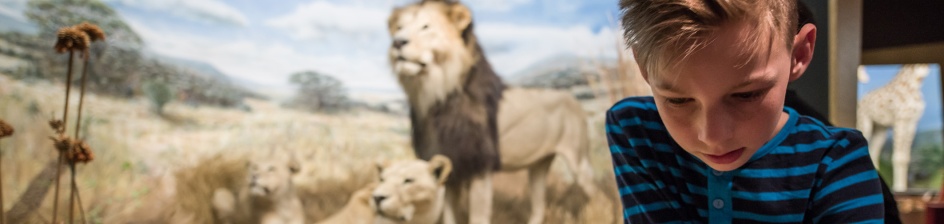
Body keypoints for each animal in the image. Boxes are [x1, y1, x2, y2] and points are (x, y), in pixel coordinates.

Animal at [388, 0, 592, 223]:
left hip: (577, 158)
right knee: (539, 203)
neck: (436, 97)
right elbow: (449, 216)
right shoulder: (450, 167)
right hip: (538, 165)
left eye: (425, 27)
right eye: (399, 28)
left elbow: (478, 216)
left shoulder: (480, 167)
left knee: (595, 188)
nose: (397, 42)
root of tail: (572, 98)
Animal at [856, 64, 928, 192]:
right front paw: (899, 187)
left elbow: (905, 157)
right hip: (864, 123)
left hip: (880, 129)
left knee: (874, 151)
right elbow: (899, 158)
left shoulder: (912, 123)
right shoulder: (900, 120)